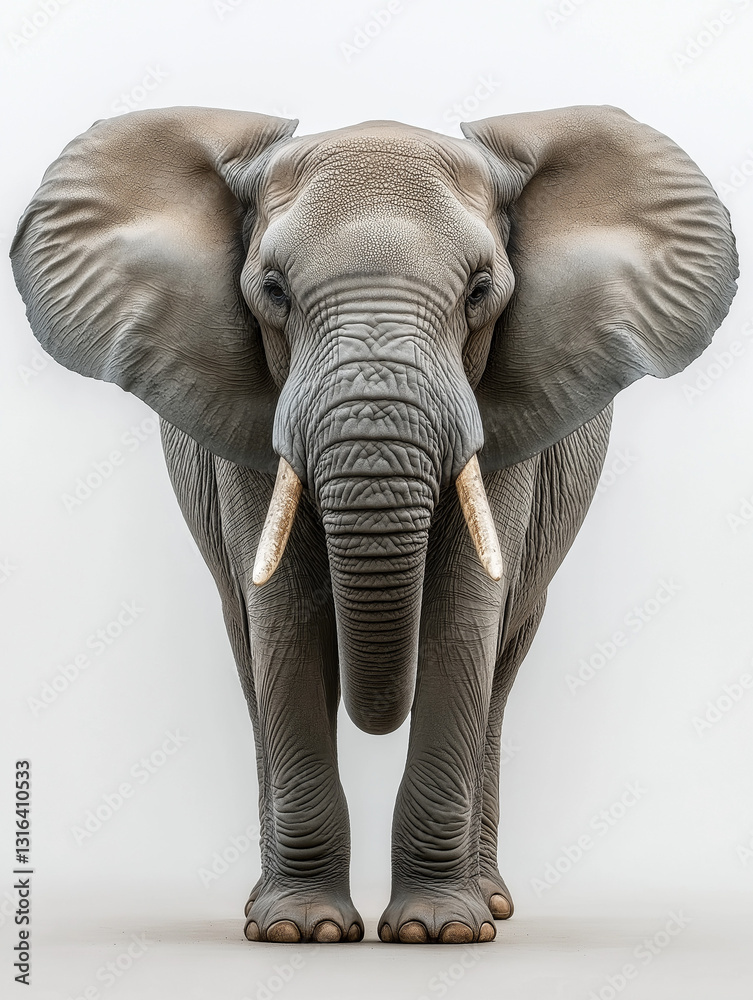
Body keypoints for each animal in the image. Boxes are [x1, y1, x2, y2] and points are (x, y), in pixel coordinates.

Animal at [11, 104, 737, 945]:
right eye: (272, 290)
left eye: (480, 291)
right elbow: (284, 621)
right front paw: (303, 931)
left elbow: (461, 619)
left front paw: (437, 931)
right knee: (249, 649)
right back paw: (261, 906)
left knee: (500, 665)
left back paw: (489, 905)